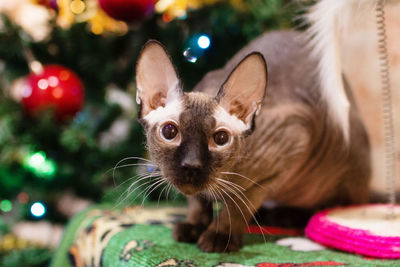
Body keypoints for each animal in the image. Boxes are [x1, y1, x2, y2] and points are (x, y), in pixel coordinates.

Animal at [135, 30, 372, 253]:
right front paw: (194, 226)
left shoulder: (288, 152)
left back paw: (284, 216)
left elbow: (239, 204)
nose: (192, 165)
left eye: (220, 139)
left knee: (328, 207)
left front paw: (221, 235)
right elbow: (197, 201)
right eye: (169, 132)